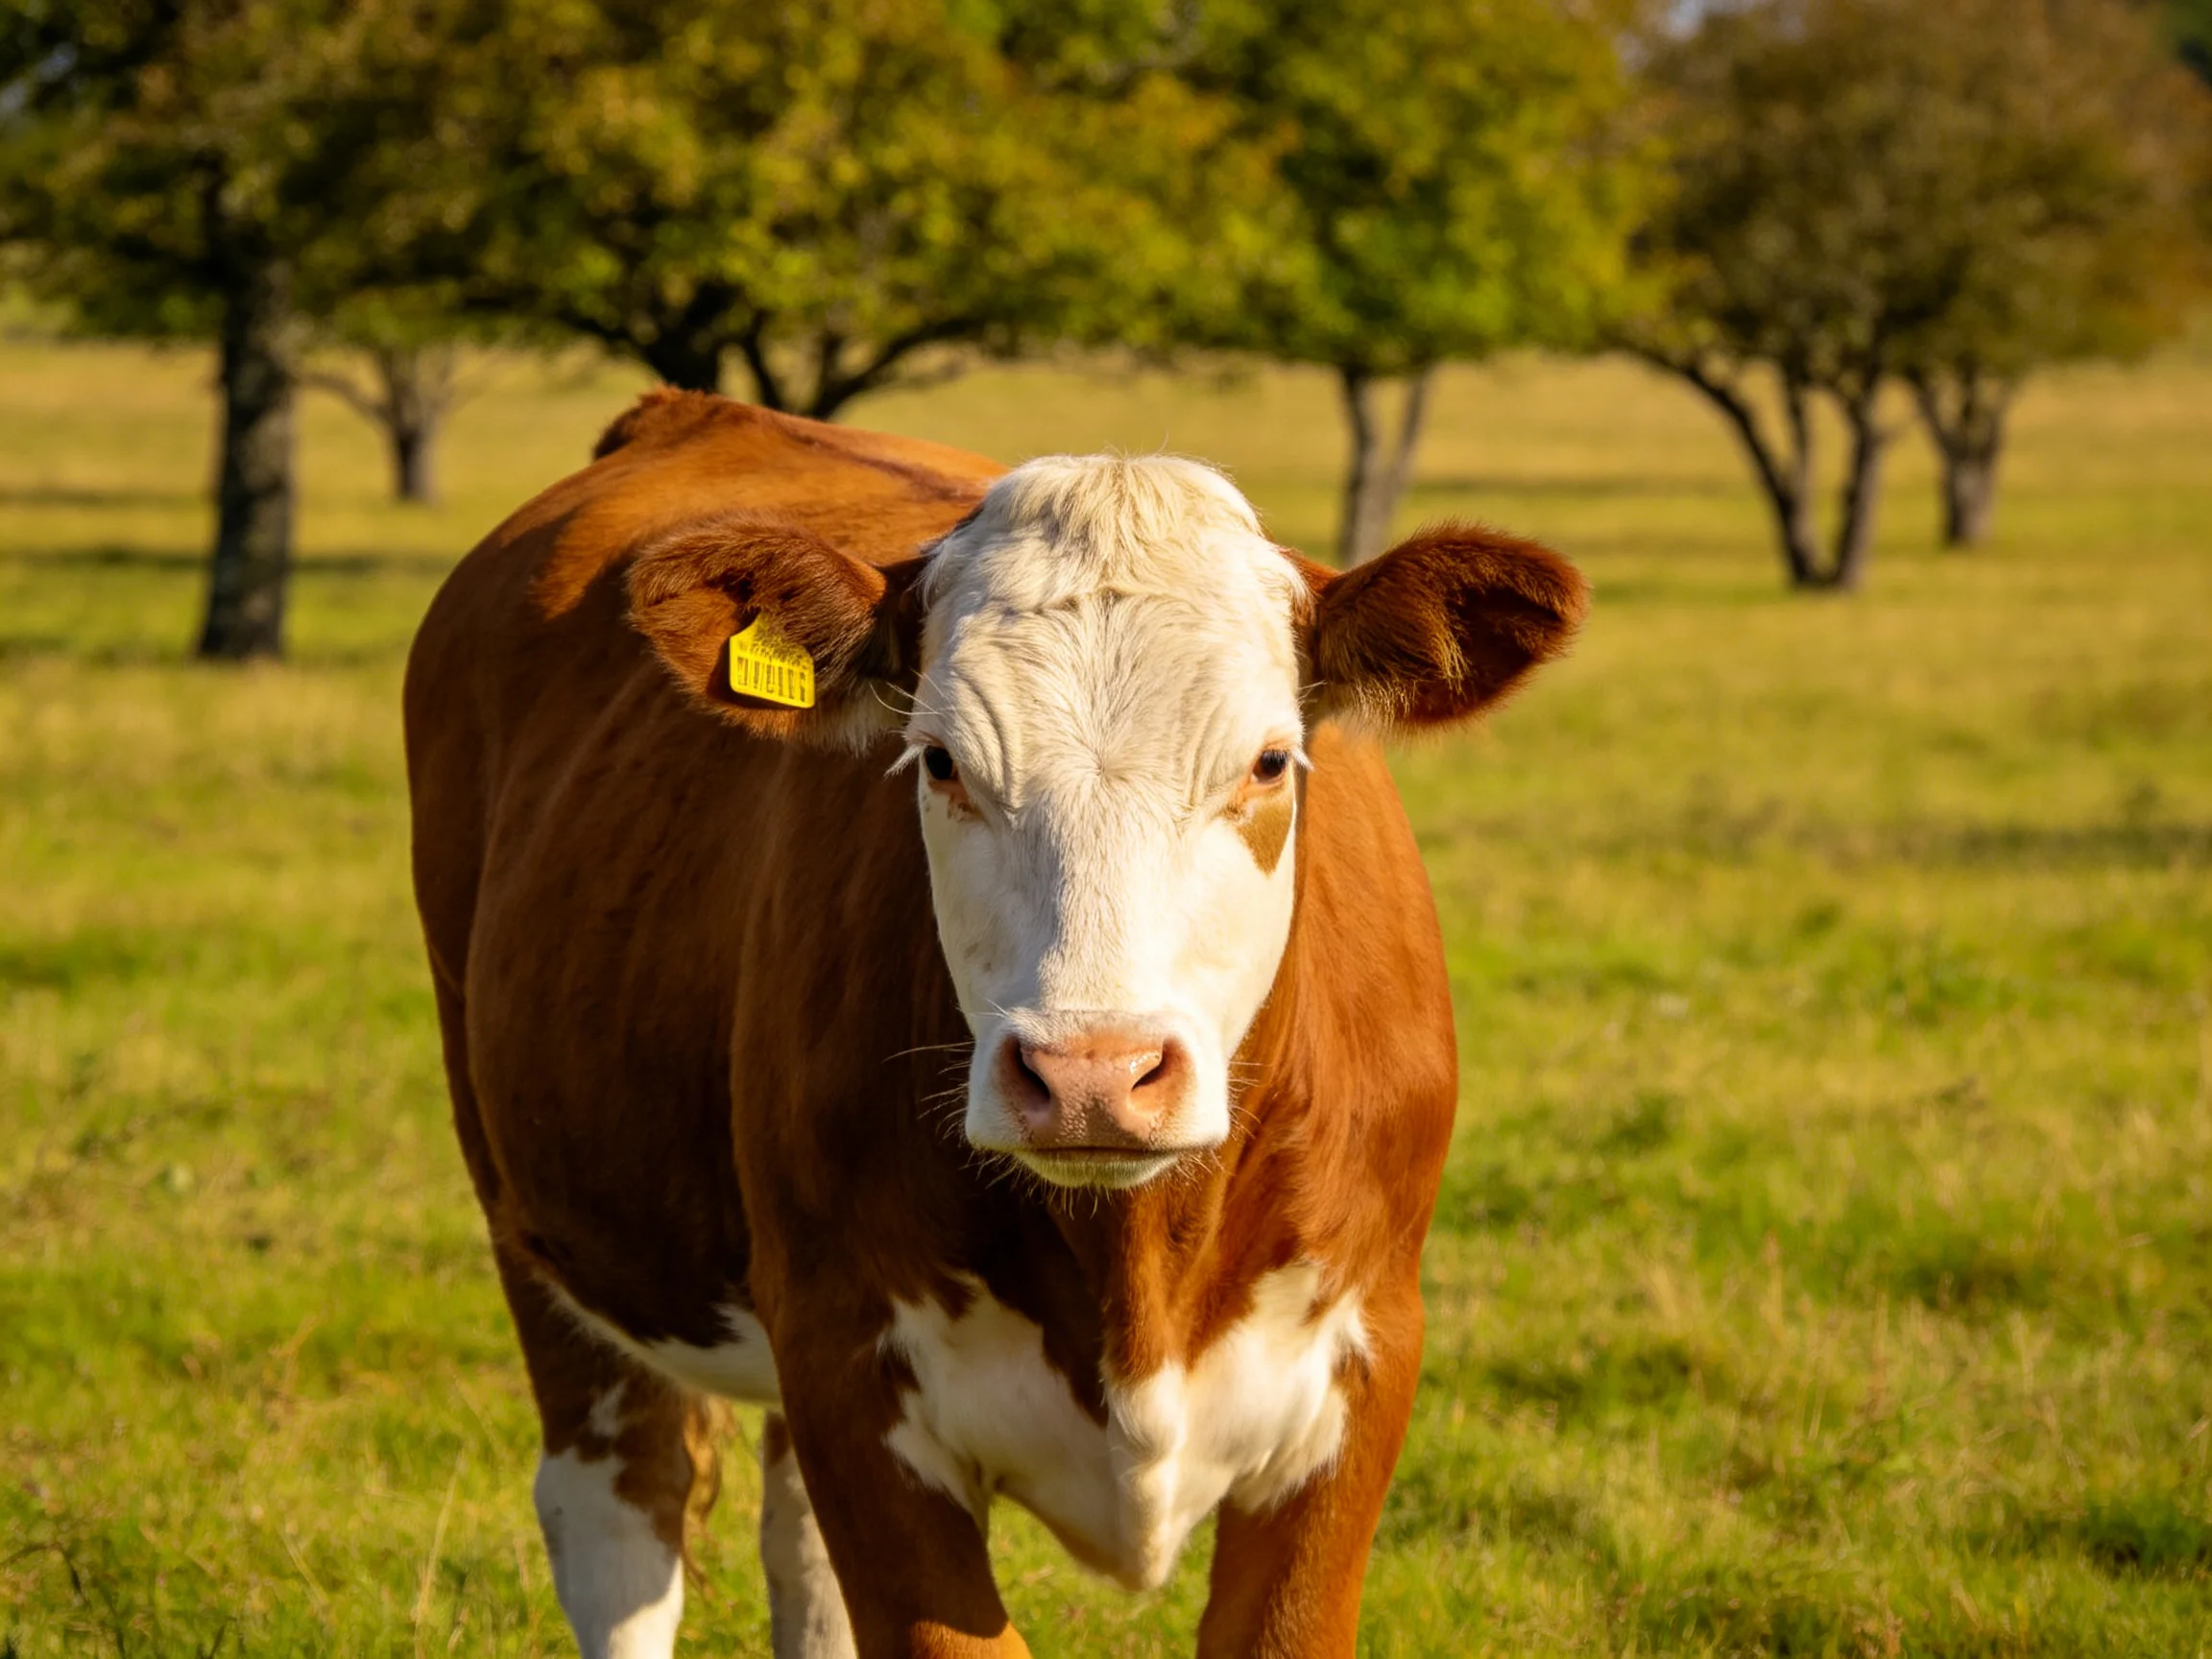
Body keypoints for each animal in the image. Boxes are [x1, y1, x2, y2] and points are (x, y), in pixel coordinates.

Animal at [404, 388, 1585, 1659]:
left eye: (1271, 760)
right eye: (938, 761)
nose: (1092, 1075)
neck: (1135, 1265)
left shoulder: (1361, 1370)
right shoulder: (850, 1367)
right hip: (536, 1218)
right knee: (619, 1526)